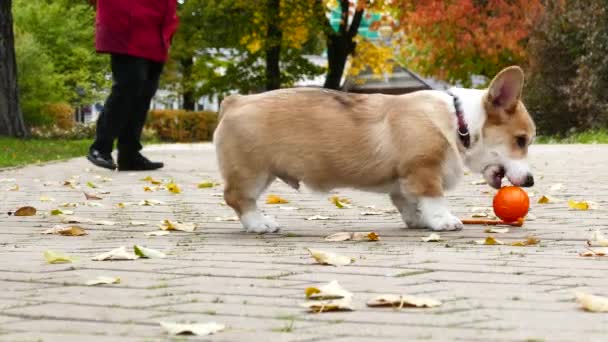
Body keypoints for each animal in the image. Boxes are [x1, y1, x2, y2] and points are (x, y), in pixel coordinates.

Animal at [215, 66, 536, 232]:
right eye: (521, 140)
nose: (532, 181)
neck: (459, 122)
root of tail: (234, 101)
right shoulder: (424, 170)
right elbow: (433, 197)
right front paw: (442, 220)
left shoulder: (404, 182)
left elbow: (407, 201)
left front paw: (418, 220)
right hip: (253, 172)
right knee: (238, 198)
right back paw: (259, 223)